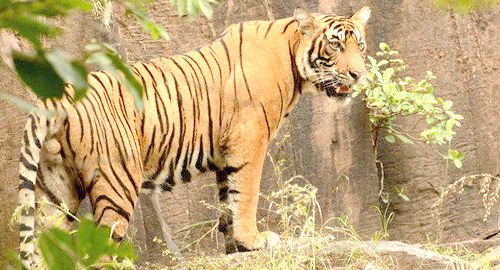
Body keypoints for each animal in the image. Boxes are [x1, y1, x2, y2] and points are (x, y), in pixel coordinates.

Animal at [17, 5, 370, 266]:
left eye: (361, 46)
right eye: (336, 44)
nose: (358, 74)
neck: (292, 57)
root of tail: (54, 99)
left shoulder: (227, 150)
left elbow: (228, 198)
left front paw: (234, 246)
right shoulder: (249, 140)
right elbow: (247, 194)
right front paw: (254, 240)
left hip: (56, 187)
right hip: (117, 177)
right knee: (103, 240)